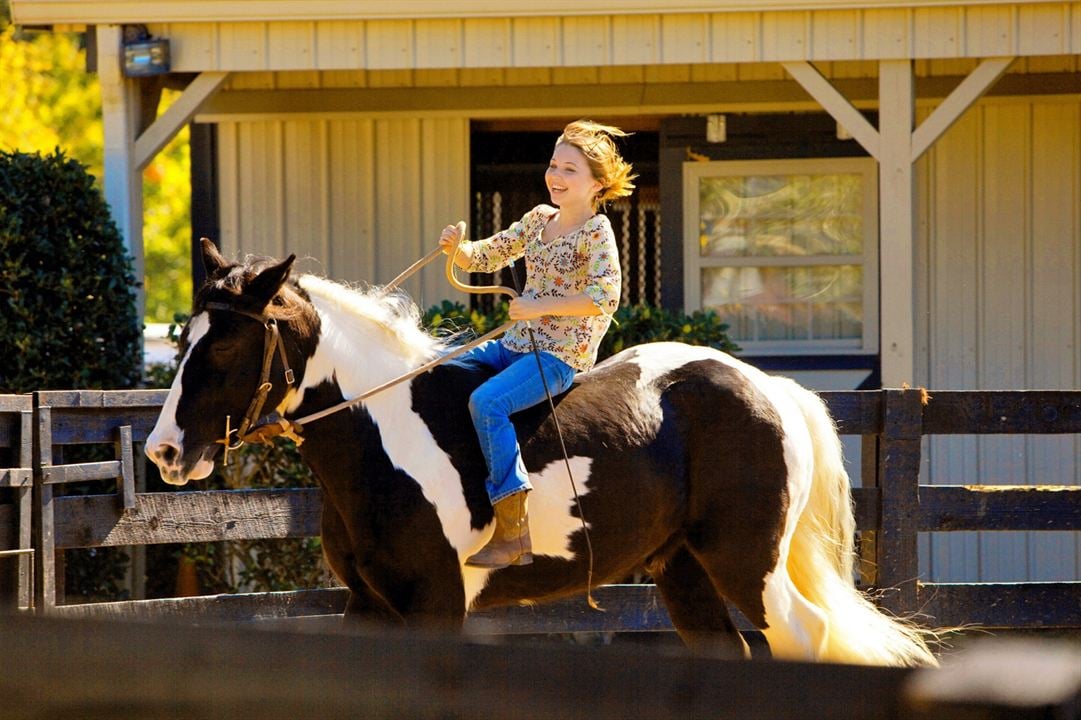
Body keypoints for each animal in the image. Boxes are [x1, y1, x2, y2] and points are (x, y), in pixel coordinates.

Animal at [145, 237, 938, 665]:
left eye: (227, 348)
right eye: (185, 342)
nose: (164, 452)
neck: (386, 441)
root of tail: (770, 389)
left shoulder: (437, 604)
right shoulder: (369, 606)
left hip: (747, 563)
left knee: (808, 636)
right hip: (684, 571)